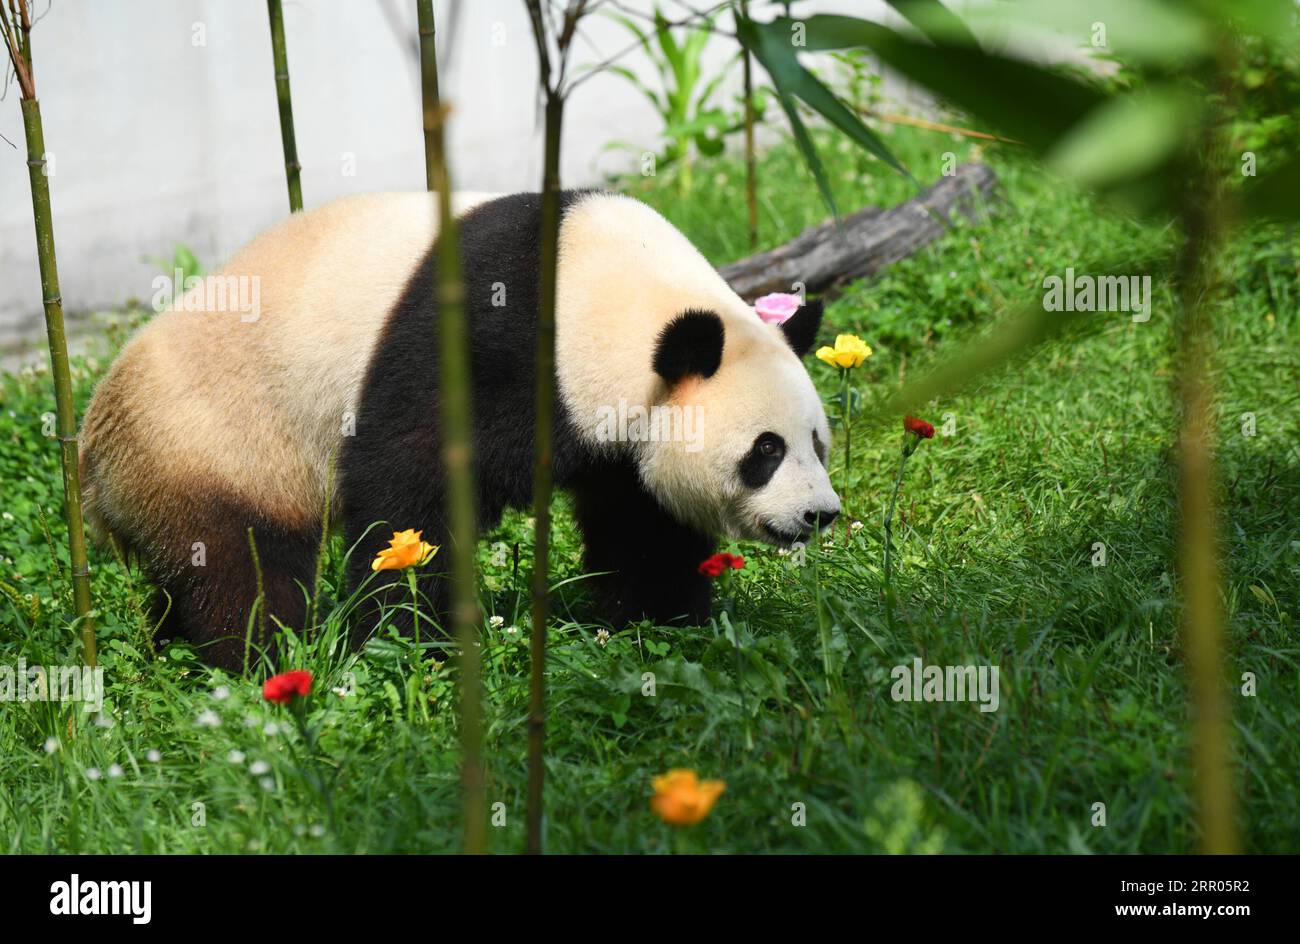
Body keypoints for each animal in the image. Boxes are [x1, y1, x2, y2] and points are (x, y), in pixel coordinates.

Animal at [80, 190, 841, 669]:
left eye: (818, 444)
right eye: (765, 450)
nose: (820, 514)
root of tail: (95, 451)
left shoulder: (621, 436)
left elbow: (642, 520)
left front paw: (665, 621)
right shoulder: (485, 337)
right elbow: (406, 480)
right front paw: (408, 641)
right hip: (214, 439)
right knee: (241, 563)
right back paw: (262, 662)